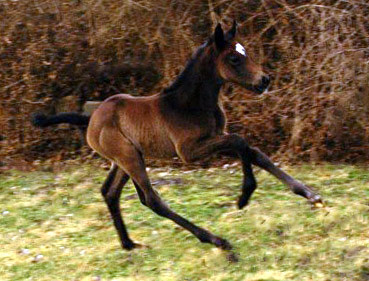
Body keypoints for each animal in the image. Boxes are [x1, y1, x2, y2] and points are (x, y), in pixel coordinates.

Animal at [84, 20, 322, 250]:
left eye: (245, 51)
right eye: (234, 58)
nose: (264, 80)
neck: (188, 104)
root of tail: (92, 121)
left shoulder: (216, 136)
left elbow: (254, 152)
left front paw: (311, 195)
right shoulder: (189, 152)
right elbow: (239, 141)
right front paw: (244, 196)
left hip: (125, 159)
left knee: (110, 192)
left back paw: (129, 244)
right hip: (128, 157)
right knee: (151, 199)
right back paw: (216, 240)